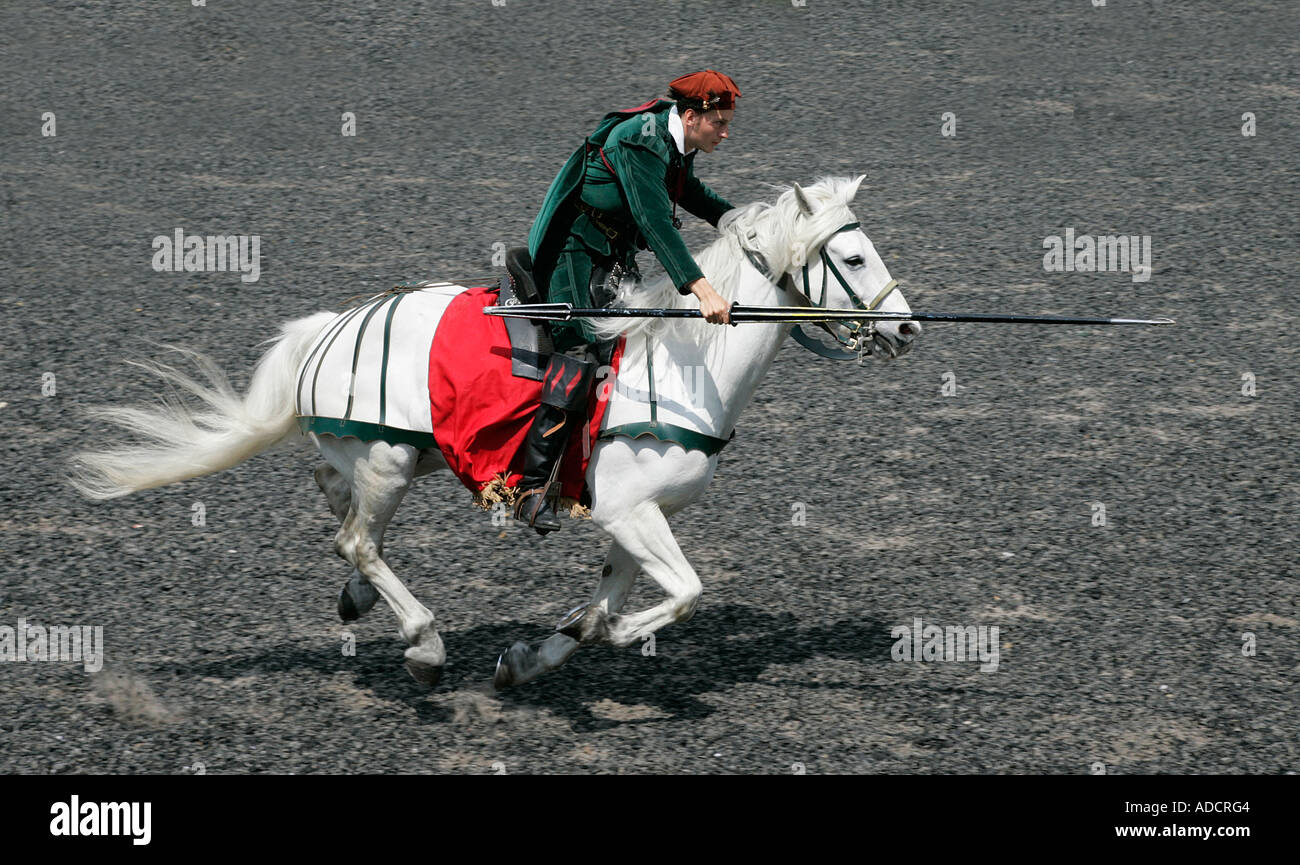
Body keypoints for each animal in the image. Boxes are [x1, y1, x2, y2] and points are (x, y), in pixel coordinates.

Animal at [71, 174, 920, 686]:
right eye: (850, 255)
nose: (907, 329)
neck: (683, 363)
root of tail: (327, 328)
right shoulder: (630, 511)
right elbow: (682, 593)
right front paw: (621, 634)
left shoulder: (634, 517)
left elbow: (603, 607)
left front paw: (531, 657)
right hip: (389, 459)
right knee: (357, 539)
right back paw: (422, 642)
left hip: (405, 456)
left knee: (334, 499)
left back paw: (359, 599)